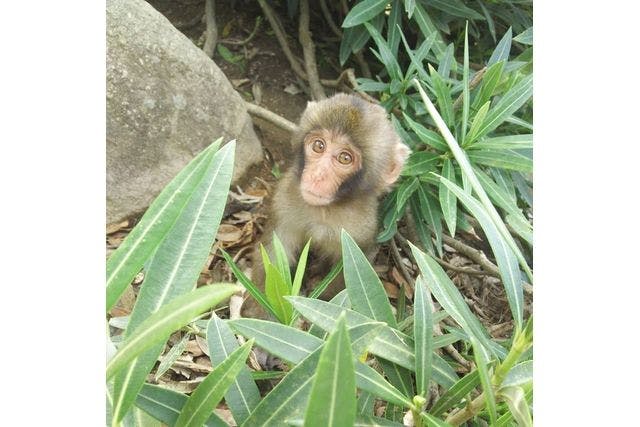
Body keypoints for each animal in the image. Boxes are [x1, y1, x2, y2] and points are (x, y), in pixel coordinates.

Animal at [245, 93, 410, 320]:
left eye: (345, 158)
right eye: (319, 146)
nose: (317, 175)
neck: (325, 210)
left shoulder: (360, 230)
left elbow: (346, 275)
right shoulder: (283, 201)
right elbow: (274, 254)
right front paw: (263, 313)